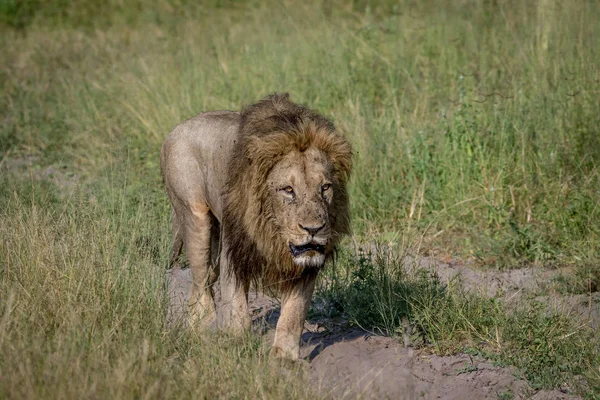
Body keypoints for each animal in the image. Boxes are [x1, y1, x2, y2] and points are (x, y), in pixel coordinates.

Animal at [162, 94, 354, 360]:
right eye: (288, 190)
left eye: (325, 187)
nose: (313, 229)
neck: (272, 234)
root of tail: (176, 129)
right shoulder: (234, 250)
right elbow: (237, 306)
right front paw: (237, 347)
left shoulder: (305, 265)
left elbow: (294, 312)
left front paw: (284, 358)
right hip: (194, 215)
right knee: (201, 281)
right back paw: (205, 330)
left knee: (206, 279)